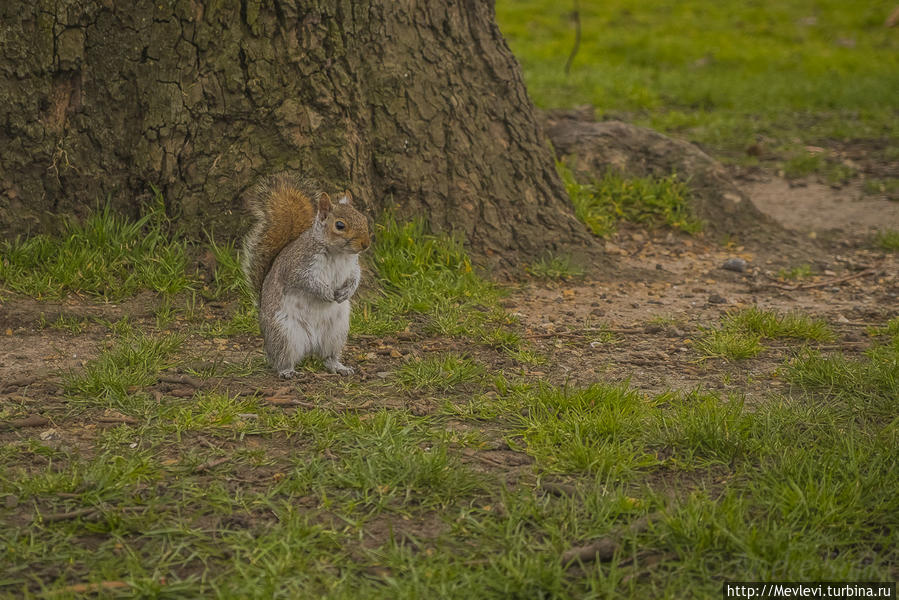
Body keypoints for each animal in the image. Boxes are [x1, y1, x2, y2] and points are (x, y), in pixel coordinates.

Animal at [241, 173, 370, 378]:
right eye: (340, 225)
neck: (338, 253)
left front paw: (346, 293)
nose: (365, 244)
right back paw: (287, 371)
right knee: (281, 358)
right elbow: (307, 282)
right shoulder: (298, 267)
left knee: (328, 356)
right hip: (285, 334)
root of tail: (311, 345)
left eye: (364, 219)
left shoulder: (352, 267)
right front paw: (326, 293)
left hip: (336, 332)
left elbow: (355, 278)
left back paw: (339, 367)